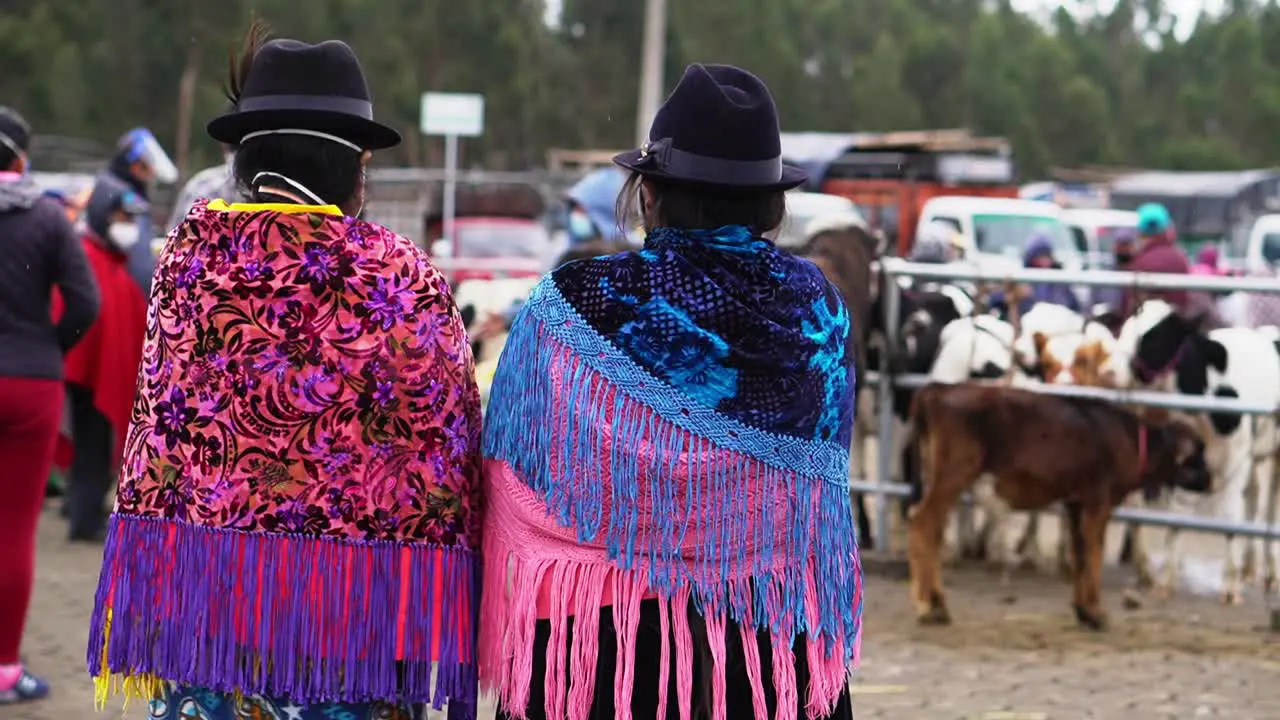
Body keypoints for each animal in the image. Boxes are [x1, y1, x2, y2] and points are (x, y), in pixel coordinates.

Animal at [911, 381, 1208, 627]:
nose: (1211, 478)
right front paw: (1096, 613)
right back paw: (930, 607)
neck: (1129, 439)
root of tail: (941, 389)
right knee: (924, 523)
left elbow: (1080, 555)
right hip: (952, 477)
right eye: (1199, 452)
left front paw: (1083, 610)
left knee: (932, 529)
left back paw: (933, 603)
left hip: (937, 478)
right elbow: (1094, 554)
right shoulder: (1098, 504)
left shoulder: (1076, 505)